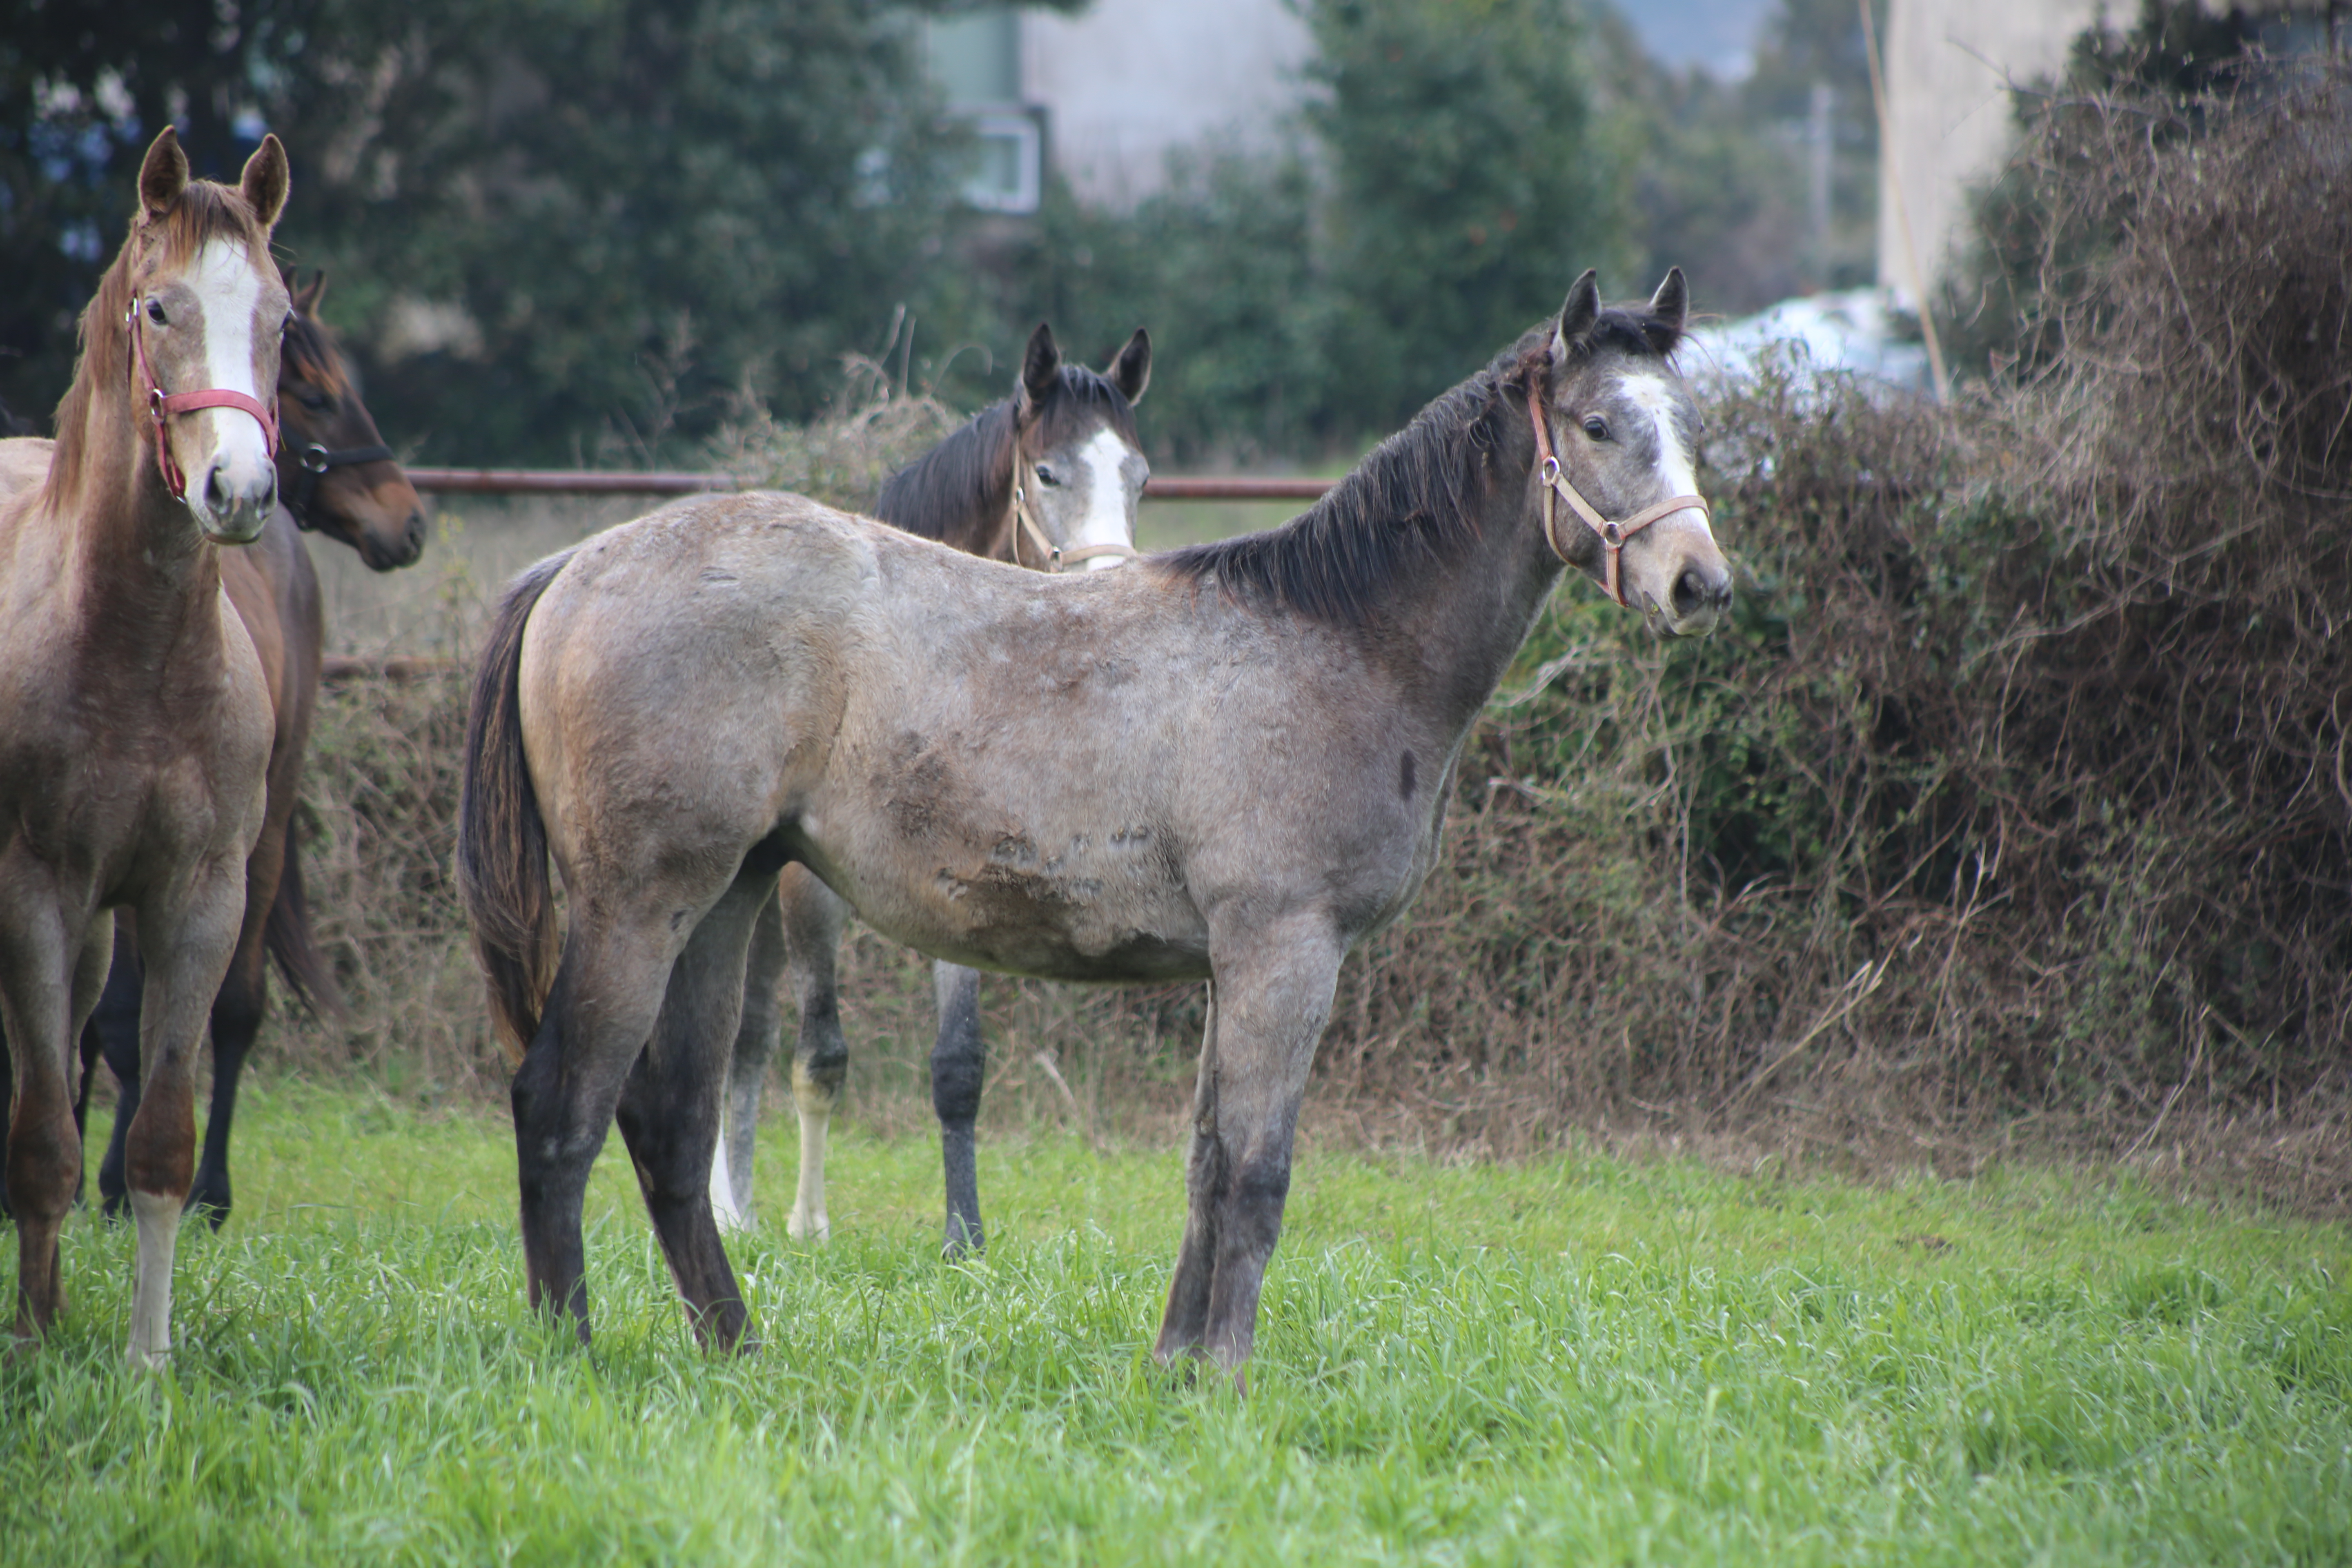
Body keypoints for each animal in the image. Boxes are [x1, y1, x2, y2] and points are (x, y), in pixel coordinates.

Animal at [459, 270, 1731, 1382]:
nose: (1699, 585)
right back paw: (569, 1350)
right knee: (561, 1106)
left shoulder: (1230, 966)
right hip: (640, 906)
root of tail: (577, 561)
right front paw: (1230, 1379)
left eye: (1689, 427)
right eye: (1601, 424)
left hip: (722, 902)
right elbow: (1258, 1174)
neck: (1338, 639)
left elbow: (1206, 1166)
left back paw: (735, 1348)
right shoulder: (1284, 953)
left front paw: (1174, 1366)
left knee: (669, 1122)